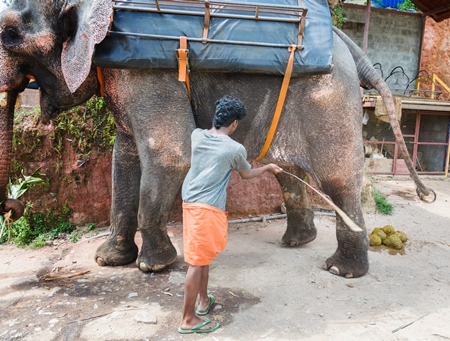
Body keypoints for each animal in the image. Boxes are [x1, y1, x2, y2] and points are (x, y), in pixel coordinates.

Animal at [0, 0, 434, 278]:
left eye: (8, 33)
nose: (13, 208)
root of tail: (346, 42)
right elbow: (123, 159)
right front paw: (108, 262)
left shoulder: (147, 76)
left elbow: (170, 154)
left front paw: (154, 267)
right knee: (289, 171)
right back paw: (297, 242)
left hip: (329, 99)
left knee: (338, 179)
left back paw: (341, 271)